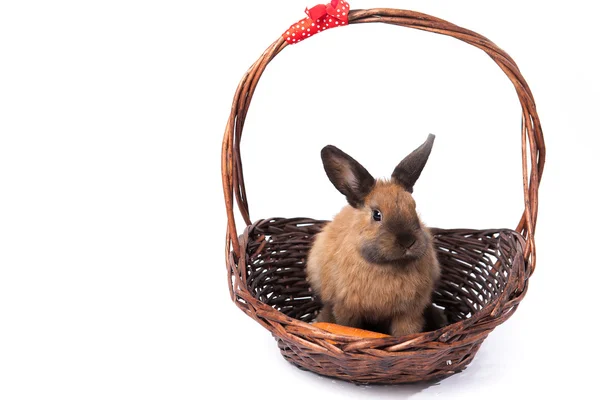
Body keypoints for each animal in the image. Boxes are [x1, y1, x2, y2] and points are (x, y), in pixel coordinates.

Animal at [310, 135, 440, 338]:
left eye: (413, 207)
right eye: (377, 214)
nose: (408, 241)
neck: (389, 265)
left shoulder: (409, 314)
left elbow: (404, 333)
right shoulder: (346, 309)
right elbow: (348, 326)